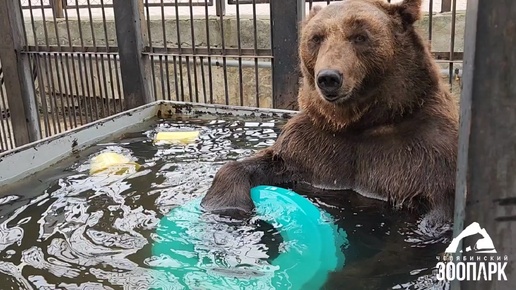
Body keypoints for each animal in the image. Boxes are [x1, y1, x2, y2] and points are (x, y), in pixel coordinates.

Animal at [201, 0, 460, 230]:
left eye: (360, 36)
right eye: (316, 38)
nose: (329, 78)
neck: (360, 122)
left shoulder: (423, 149)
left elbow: (441, 199)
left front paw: (431, 224)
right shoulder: (314, 146)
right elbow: (269, 161)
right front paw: (225, 203)